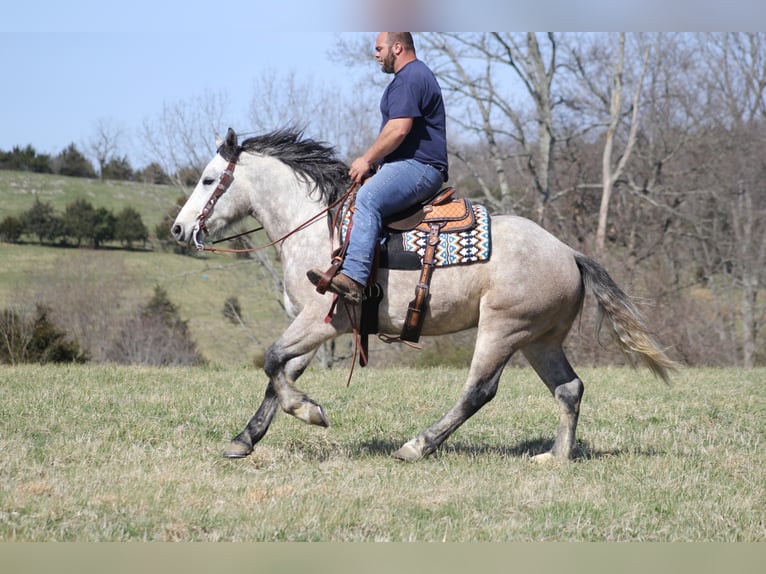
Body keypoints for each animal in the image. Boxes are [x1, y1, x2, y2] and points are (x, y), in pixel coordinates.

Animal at [172, 129, 680, 464]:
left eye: (208, 179)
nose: (179, 228)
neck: (320, 226)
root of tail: (570, 253)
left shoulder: (320, 319)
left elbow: (273, 361)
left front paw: (310, 412)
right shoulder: (312, 325)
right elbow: (278, 375)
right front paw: (245, 439)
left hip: (503, 330)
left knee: (479, 390)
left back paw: (418, 445)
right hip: (540, 339)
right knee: (569, 388)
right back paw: (555, 458)